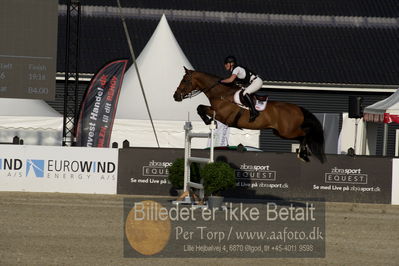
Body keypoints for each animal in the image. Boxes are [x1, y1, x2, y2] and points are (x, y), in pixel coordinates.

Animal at [173, 67, 326, 162]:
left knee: (305, 133)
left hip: (287, 131)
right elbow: (200, 107)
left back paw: (303, 154)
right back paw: (303, 153)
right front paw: (209, 122)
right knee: (302, 136)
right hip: (280, 132)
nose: (175, 96)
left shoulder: (223, 116)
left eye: (185, 80)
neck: (221, 93)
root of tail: (298, 108)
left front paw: (208, 121)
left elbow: (201, 108)